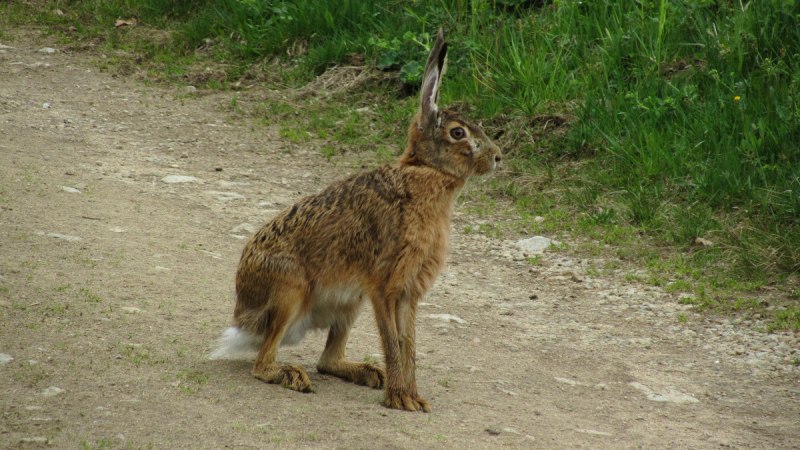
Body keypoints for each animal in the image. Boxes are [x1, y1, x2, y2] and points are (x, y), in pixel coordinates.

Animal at [210, 28, 502, 412]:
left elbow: (408, 346)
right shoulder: (383, 285)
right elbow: (393, 343)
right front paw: (400, 399)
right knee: (262, 362)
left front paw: (414, 397)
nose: (498, 157)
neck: (426, 174)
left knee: (327, 361)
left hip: (349, 303)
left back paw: (366, 372)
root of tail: (244, 319)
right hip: (290, 290)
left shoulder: (408, 291)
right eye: (457, 133)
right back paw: (290, 375)